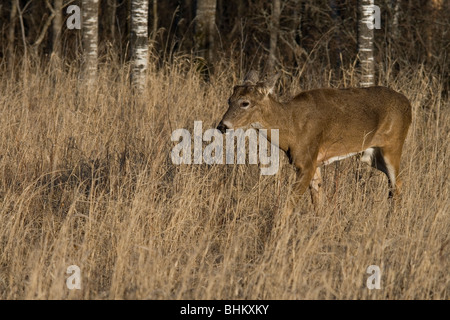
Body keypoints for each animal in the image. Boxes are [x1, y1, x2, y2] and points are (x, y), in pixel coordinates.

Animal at [217, 71, 412, 214]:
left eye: (245, 102)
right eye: (229, 100)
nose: (222, 126)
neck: (291, 126)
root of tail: (408, 104)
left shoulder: (306, 162)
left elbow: (288, 206)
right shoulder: (314, 162)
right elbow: (318, 200)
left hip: (393, 145)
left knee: (398, 184)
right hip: (370, 156)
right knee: (392, 185)